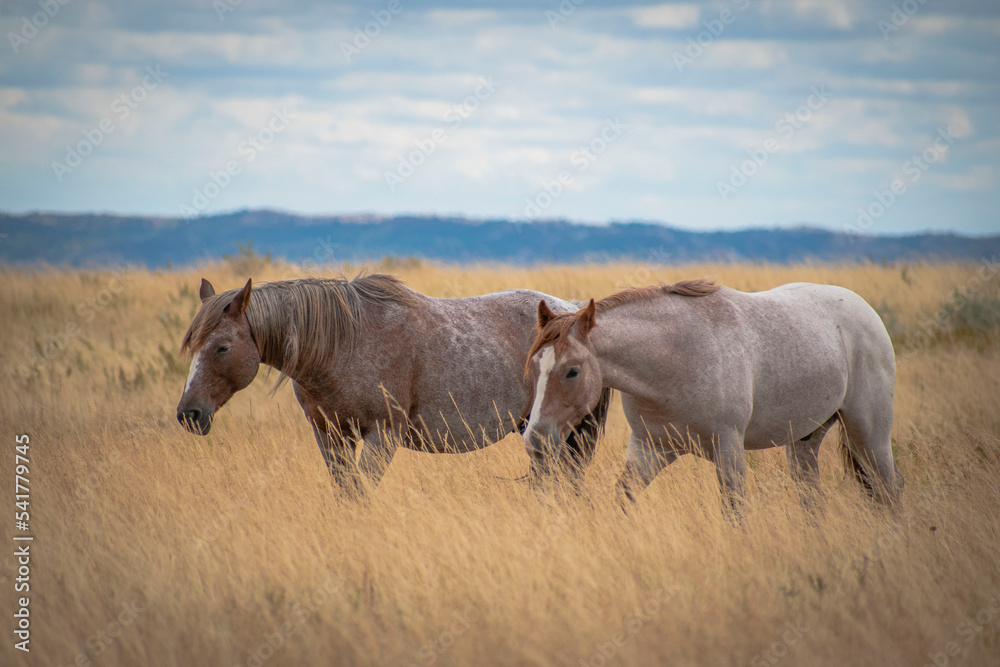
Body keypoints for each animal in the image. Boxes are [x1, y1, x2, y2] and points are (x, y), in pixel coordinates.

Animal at [175, 274, 611, 496]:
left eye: (222, 347)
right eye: (192, 344)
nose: (188, 413)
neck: (343, 343)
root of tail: (573, 311)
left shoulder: (381, 435)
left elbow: (362, 493)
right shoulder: (329, 435)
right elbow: (345, 492)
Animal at [521, 278, 904, 509]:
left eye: (572, 371)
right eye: (534, 369)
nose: (535, 439)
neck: (674, 358)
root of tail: (865, 310)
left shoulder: (728, 448)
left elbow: (735, 511)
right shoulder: (650, 448)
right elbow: (622, 499)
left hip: (868, 435)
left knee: (889, 489)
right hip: (805, 441)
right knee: (811, 497)